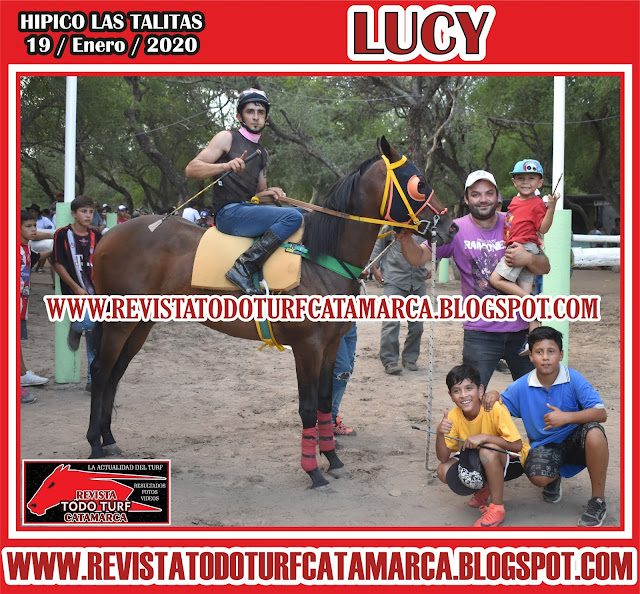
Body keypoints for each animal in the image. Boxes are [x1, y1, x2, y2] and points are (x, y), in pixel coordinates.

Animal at [87, 137, 458, 489]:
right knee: (102, 371)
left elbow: (325, 402)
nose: (449, 226)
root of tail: (108, 235)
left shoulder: (331, 346)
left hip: (140, 323)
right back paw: (94, 444)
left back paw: (109, 439)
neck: (319, 259)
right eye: (419, 182)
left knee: (117, 373)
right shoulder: (307, 347)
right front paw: (314, 472)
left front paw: (333, 460)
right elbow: (307, 408)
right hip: (118, 322)